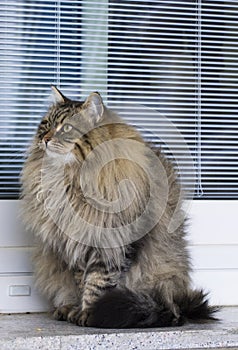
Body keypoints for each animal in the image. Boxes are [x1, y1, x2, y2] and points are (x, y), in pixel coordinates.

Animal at [20, 87, 218, 328]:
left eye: (66, 128)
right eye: (46, 124)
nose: (46, 139)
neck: (70, 177)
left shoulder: (114, 242)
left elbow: (98, 283)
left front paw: (91, 314)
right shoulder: (75, 243)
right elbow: (81, 281)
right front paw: (78, 310)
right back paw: (66, 308)